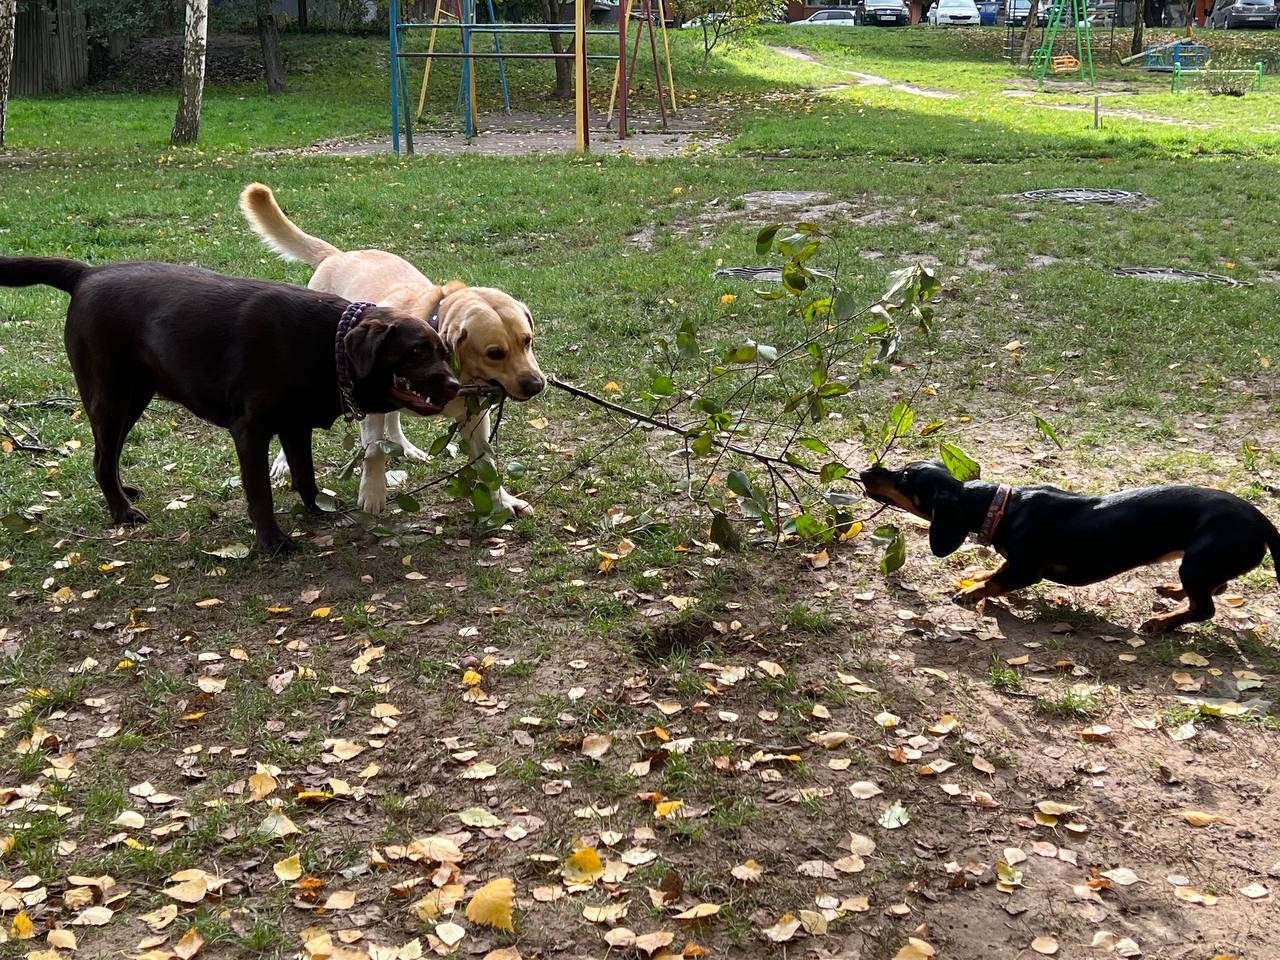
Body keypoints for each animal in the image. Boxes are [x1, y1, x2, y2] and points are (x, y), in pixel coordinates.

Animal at [0, 257, 460, 555]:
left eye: (444, 351)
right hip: (111, 397)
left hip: (134, 398)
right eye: (418, 351)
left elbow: (305, 475)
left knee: (107, 456)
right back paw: (122, 512)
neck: (327, 346)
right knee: (100, 457)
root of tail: (87, 273)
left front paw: (318, 509)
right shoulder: (250, 431)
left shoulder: (294, 426)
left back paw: (123, 492)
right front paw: (271, 541)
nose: (455, 385)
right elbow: (259, 494)